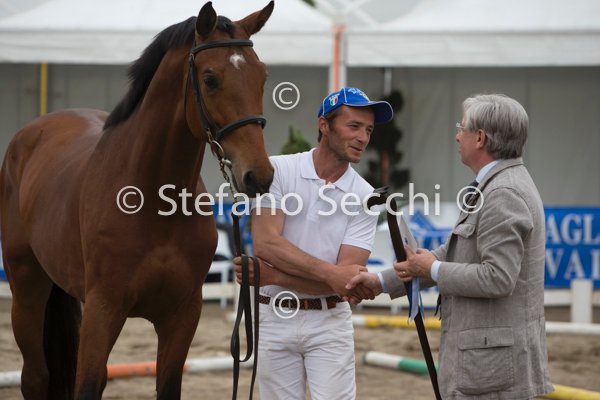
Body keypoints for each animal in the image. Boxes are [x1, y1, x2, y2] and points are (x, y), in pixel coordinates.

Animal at [0, 1, 275, 399]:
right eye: (210, 78)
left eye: (262, 77)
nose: (258, 176)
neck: (154, 201)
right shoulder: (103, 311)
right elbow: (87, 385)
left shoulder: (182, 315)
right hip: (26, 291)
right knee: (35, 377)